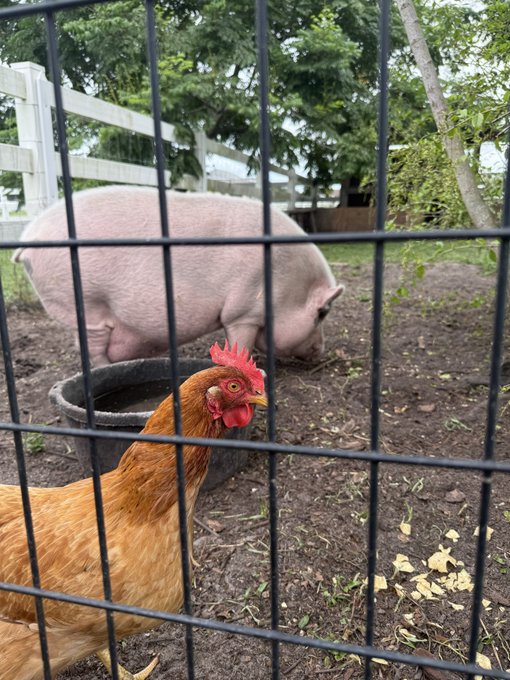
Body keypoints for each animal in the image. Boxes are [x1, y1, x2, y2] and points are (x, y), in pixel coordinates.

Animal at [14, 186, 344, 366]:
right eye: (322, 312)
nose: (321, 350)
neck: (286, 286)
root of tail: (28, 237)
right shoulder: (244, 311)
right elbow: (241, 343)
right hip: (86, 301)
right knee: (94, 346)